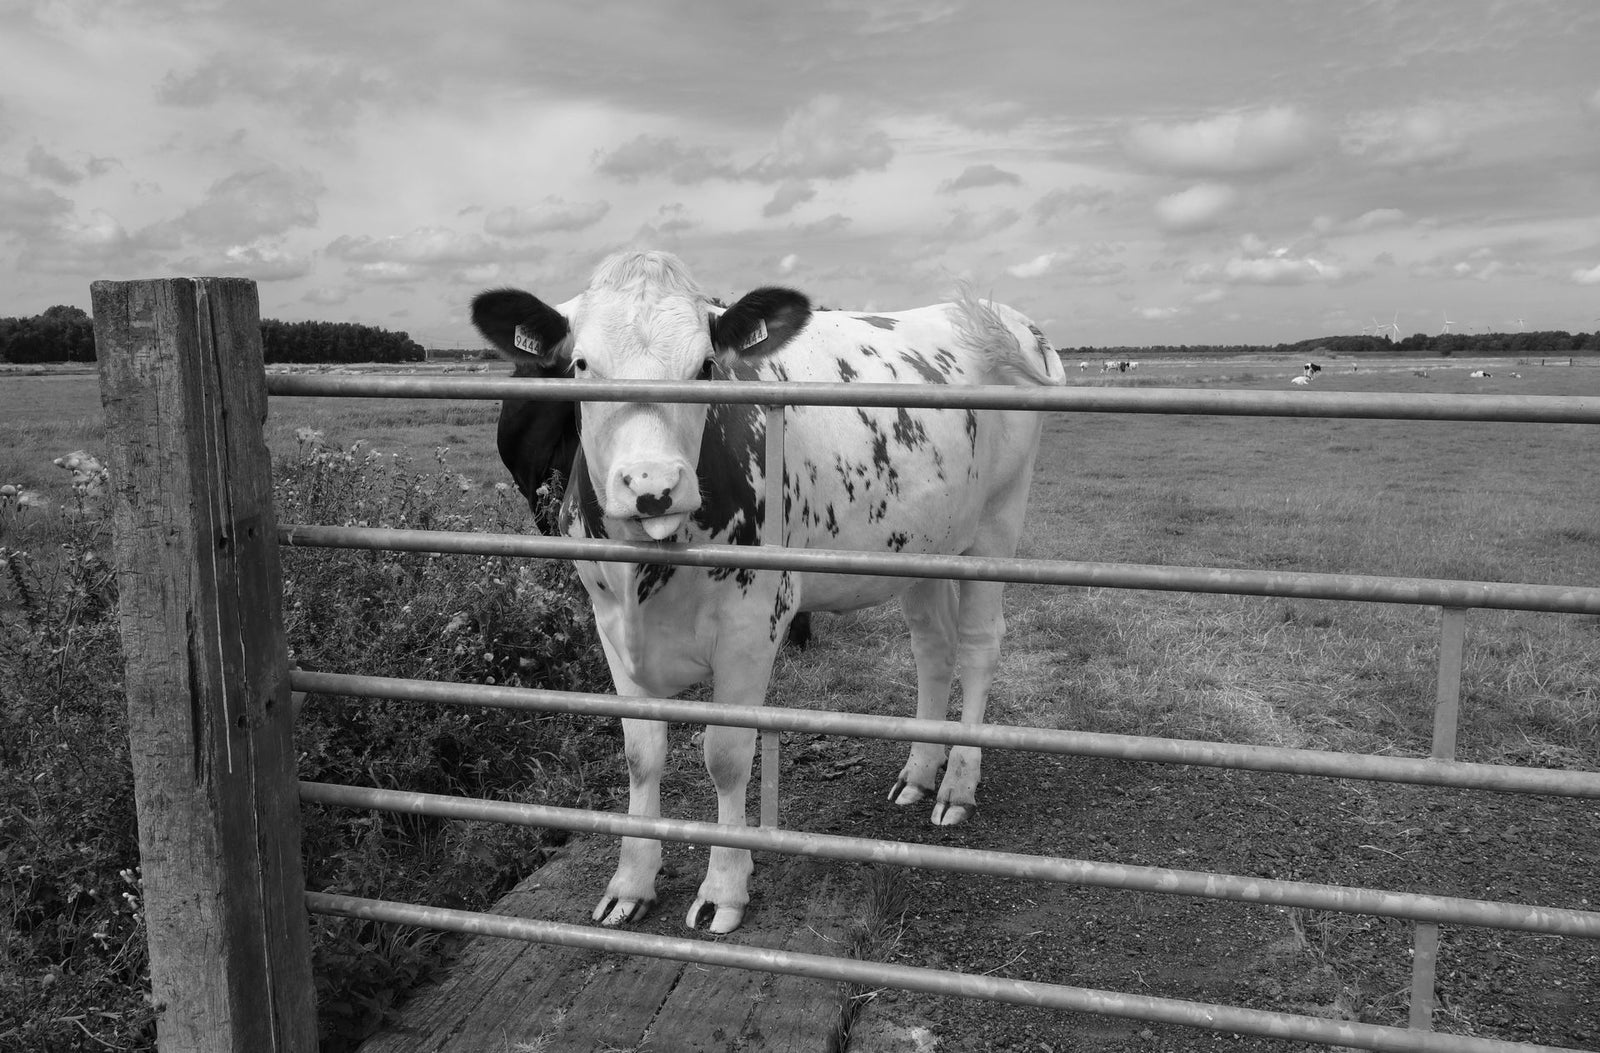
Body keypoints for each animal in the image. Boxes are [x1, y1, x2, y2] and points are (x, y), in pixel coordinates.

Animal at [474, 250, 1064, 933]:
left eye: (706, 366)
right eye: (581, 365)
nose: (652, 485)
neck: (649, 572)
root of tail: (1007, 320)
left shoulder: (753, 624)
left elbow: (727, 755)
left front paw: (724, 888)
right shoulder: (609, 623)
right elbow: (641, 754)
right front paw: (631, 883)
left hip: (996, 524)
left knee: (977, 645)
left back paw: (957, 786)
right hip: (921, 546)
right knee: (933, 649)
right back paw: (918, 774)